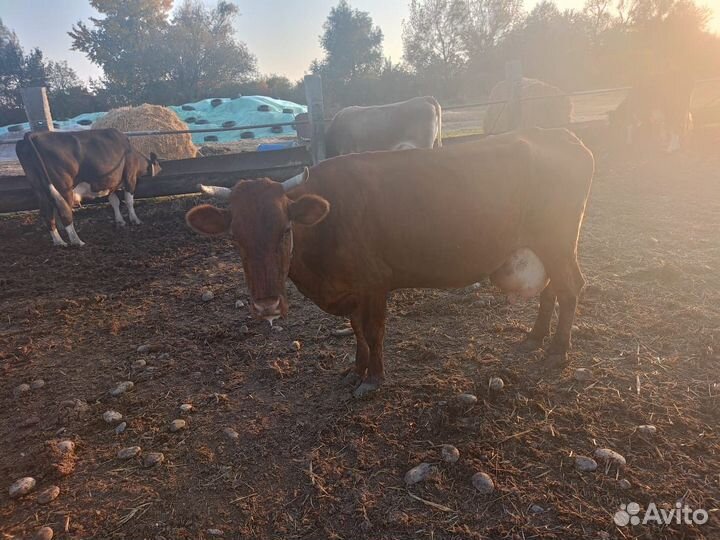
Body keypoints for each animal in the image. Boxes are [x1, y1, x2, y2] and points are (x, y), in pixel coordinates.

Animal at [16, 128, 160, 247]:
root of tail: (33, 134)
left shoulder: (110, 183)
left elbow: (114, 202)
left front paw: (120, 221)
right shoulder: (130, 177)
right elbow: (129, 201)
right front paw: (135, 220)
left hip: (40, 190)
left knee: (47, 214)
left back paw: (59, 242)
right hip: (63, 189)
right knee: (65, 212)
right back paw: (77, 241)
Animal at [188, 128, 594, 398]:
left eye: (286, 229)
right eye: (234, 238)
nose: (267, 304)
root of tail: (559, 136)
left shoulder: (374, 282)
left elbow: (373, 331)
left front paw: (373, 378)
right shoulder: (352, 289)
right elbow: (356, 331)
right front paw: (355, 370)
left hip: (558, 240)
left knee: (570, 287)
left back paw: (557, 351)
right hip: (547, 246)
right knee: (551, 289)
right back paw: (535, 338)